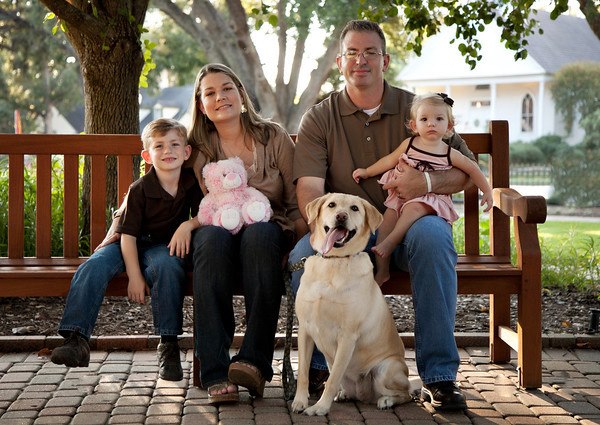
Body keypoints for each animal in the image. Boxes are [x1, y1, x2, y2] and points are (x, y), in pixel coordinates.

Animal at [292, 192, 412, 414]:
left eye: (355, 208)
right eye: (332, 205)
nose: (341, 216)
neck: (333, 262)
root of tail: (365, 395)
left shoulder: (347, 335)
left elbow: (331, 380)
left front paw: (320, 407)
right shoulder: (304, 330)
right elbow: (303, 373)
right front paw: (300, 402)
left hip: (387, 369)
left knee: (406, 393)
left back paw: (386, 400)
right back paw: (345, 394)